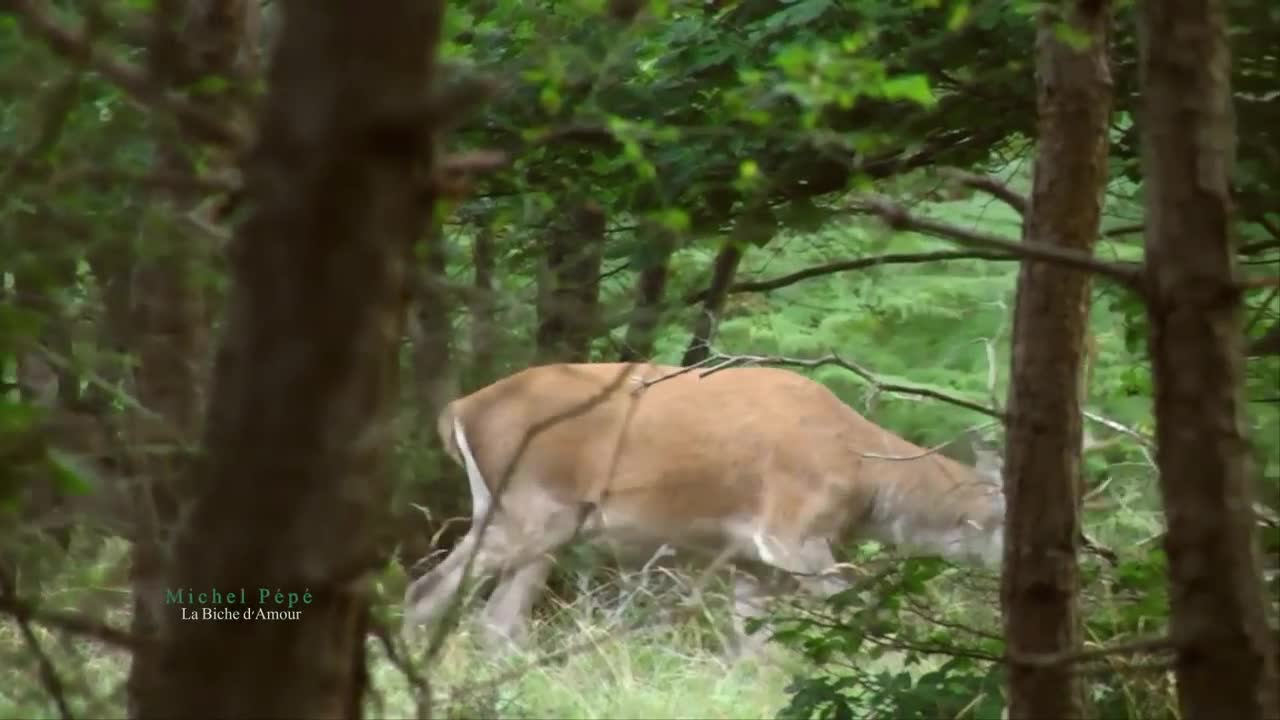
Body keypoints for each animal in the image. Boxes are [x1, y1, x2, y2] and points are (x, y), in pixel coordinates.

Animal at [404, 361, 1003, 653]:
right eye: (1002, 518)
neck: (863, 474)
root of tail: (458, 409)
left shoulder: (750, 558)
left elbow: (756, 648)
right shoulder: (790, 530)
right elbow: (862, 615)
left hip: (536, 520)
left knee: (498, 621)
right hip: (529, 507)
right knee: (426, 592)